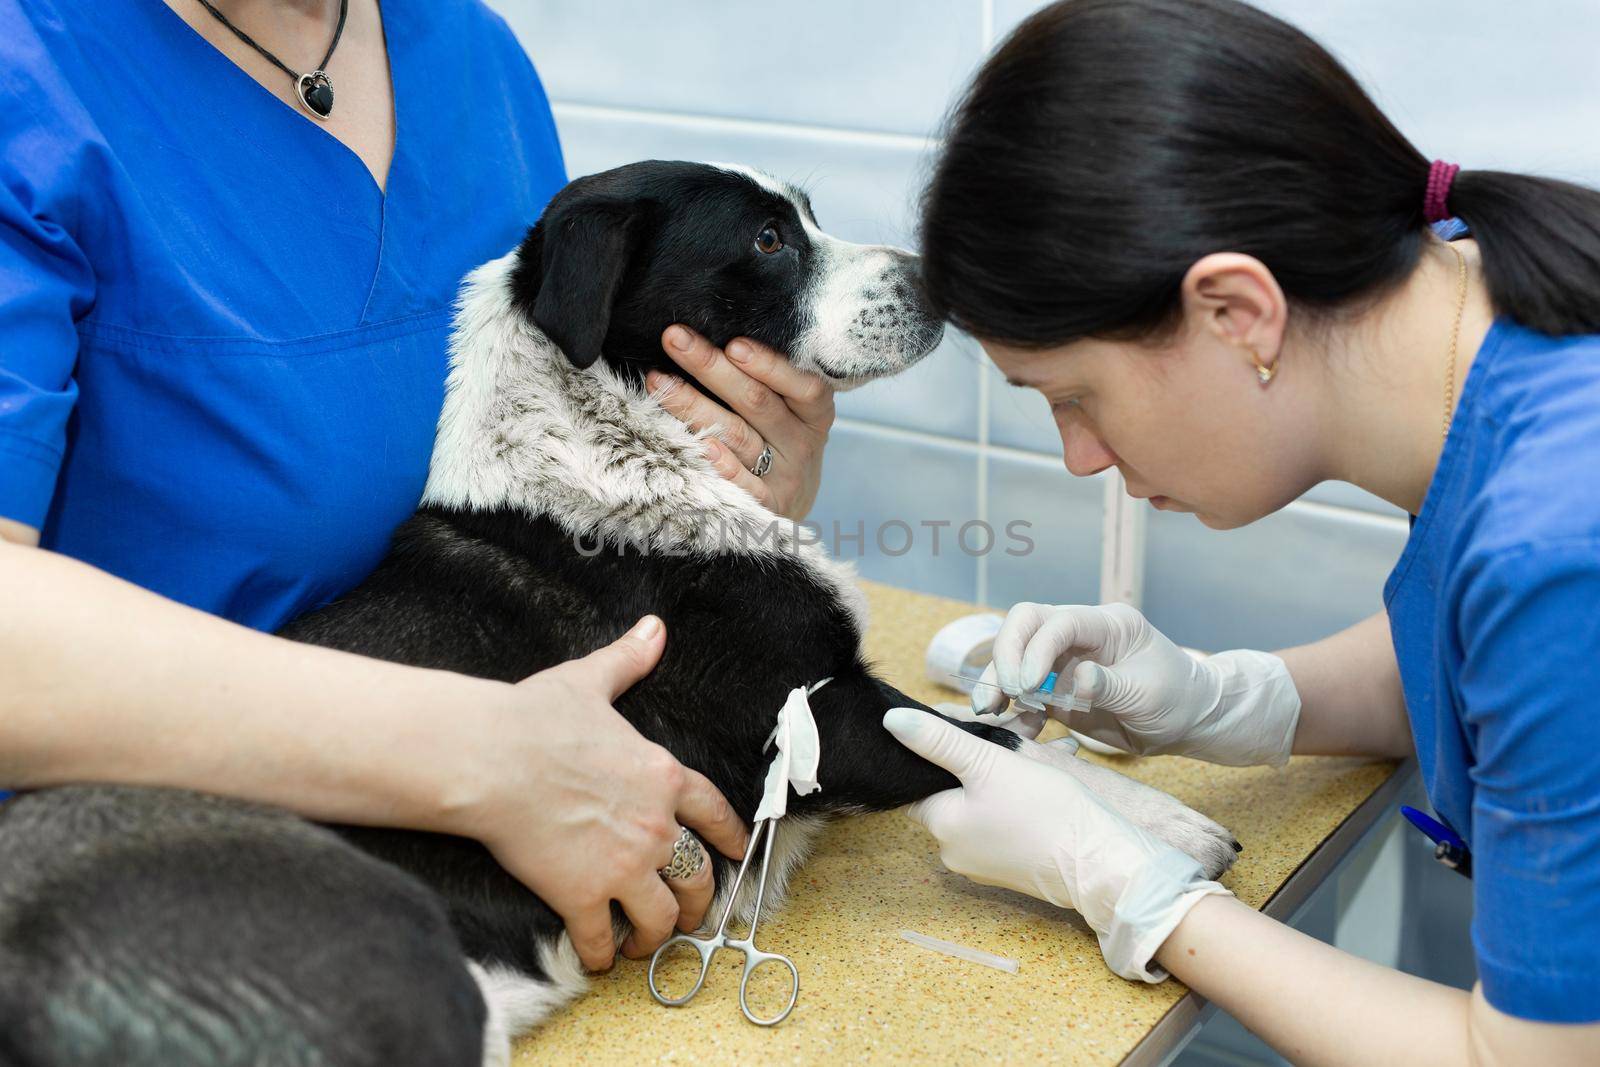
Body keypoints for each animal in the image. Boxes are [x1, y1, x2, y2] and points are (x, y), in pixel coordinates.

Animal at [0, 160, 1235, 1067]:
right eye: (768, 239)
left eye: (807, 212)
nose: (938, 276)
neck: (616, 433)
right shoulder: (816, 722)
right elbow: (984, 743)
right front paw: (1147, 834)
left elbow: (1003, 725)